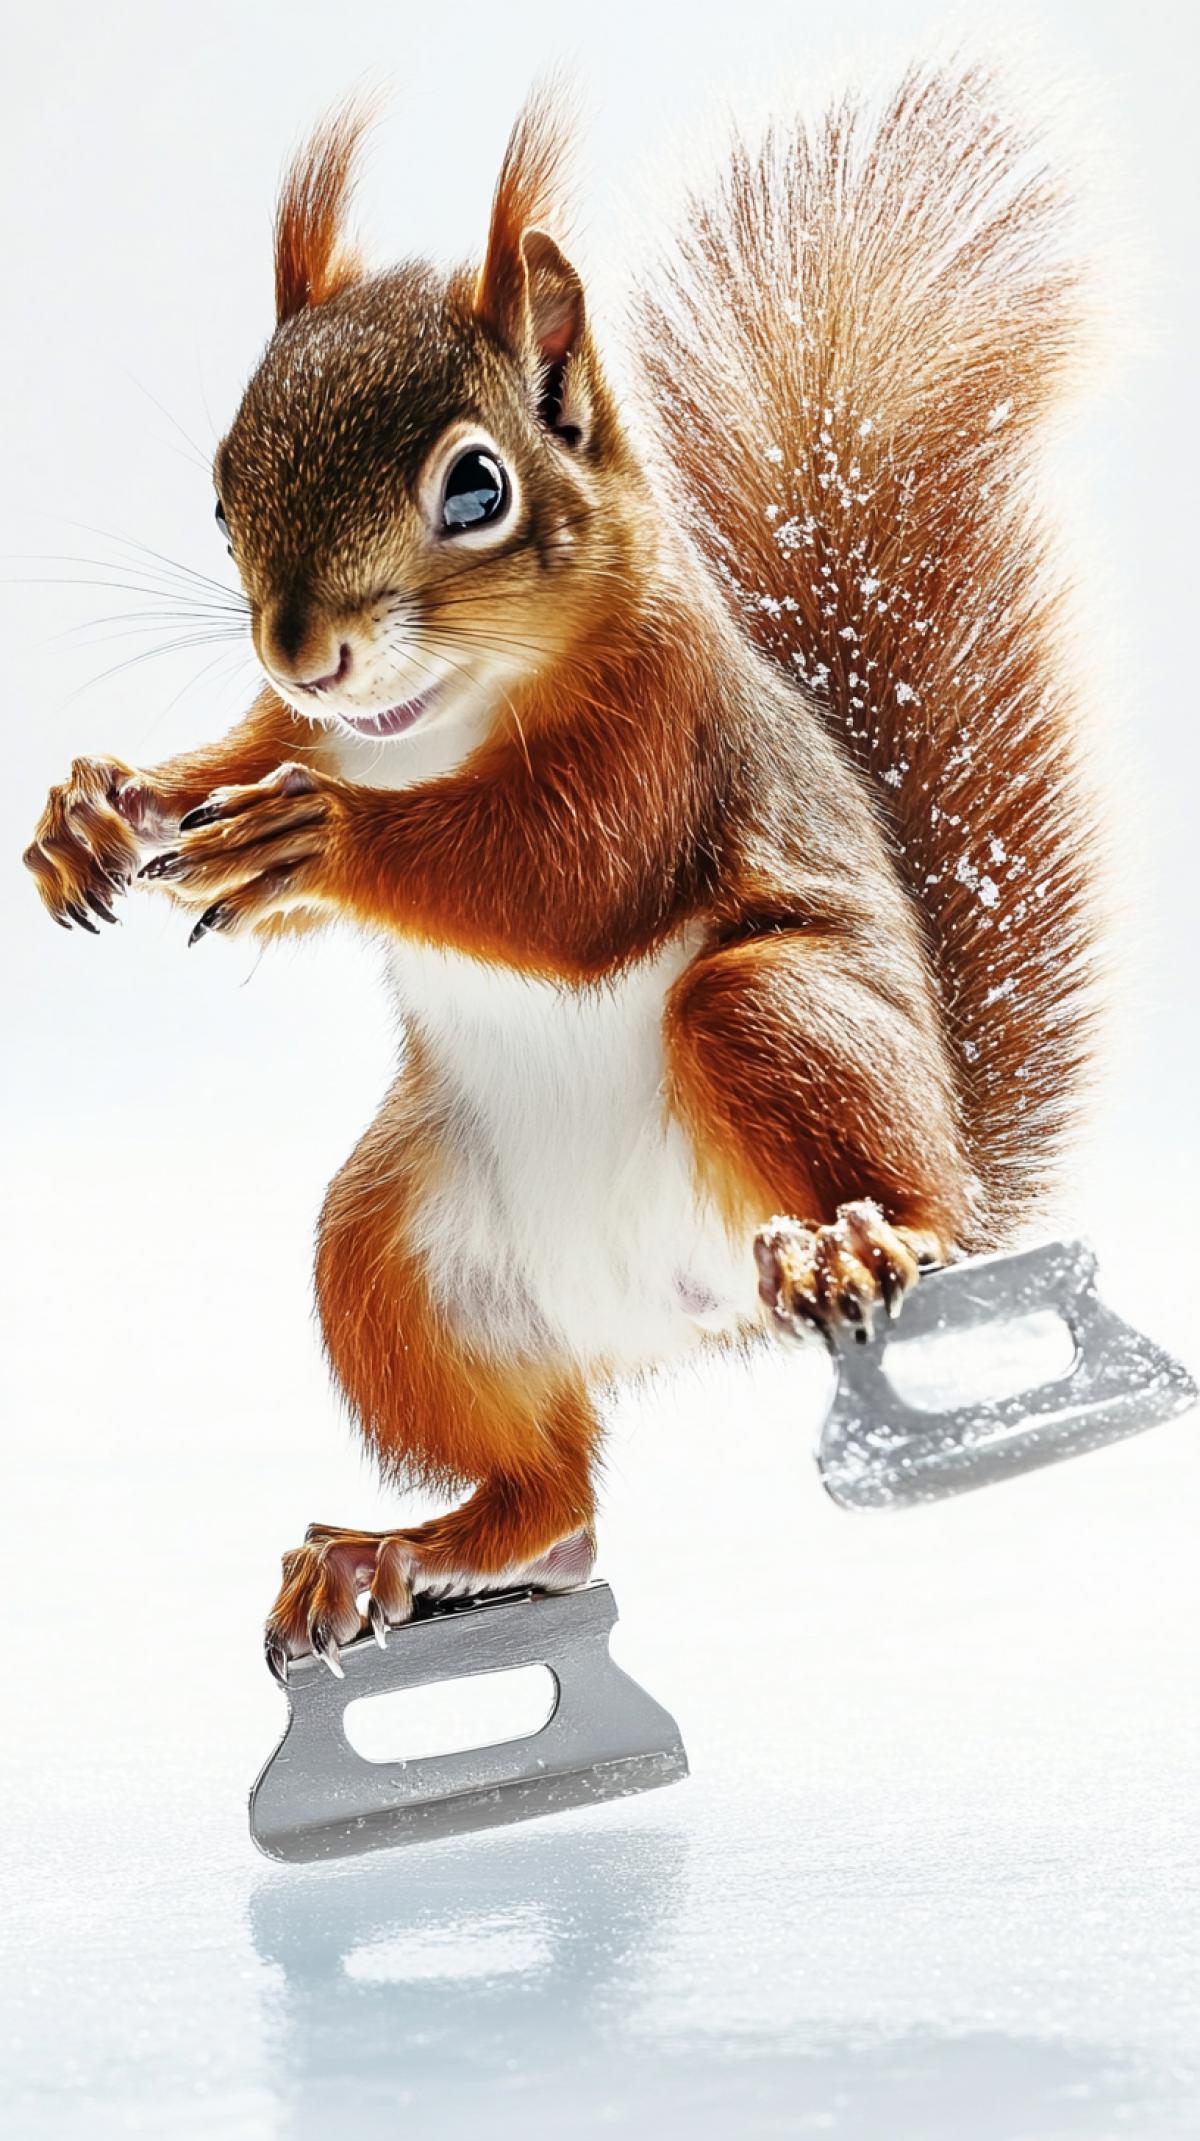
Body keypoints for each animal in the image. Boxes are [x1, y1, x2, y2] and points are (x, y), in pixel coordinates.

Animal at [25, 67, 1095, 1672]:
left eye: (476, 490)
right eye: (220, 490)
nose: (300, 645)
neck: (423, 722)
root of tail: (676, 1316)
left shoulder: (660, 735)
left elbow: (562, 883)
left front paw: (321, 839)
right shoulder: (292, 727)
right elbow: (231, 769)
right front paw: (98, 809)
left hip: (776, 1014)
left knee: (903, 1198)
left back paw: (862, 1239)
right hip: (387, 1253)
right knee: (554, 1493)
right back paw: (405, 1556)